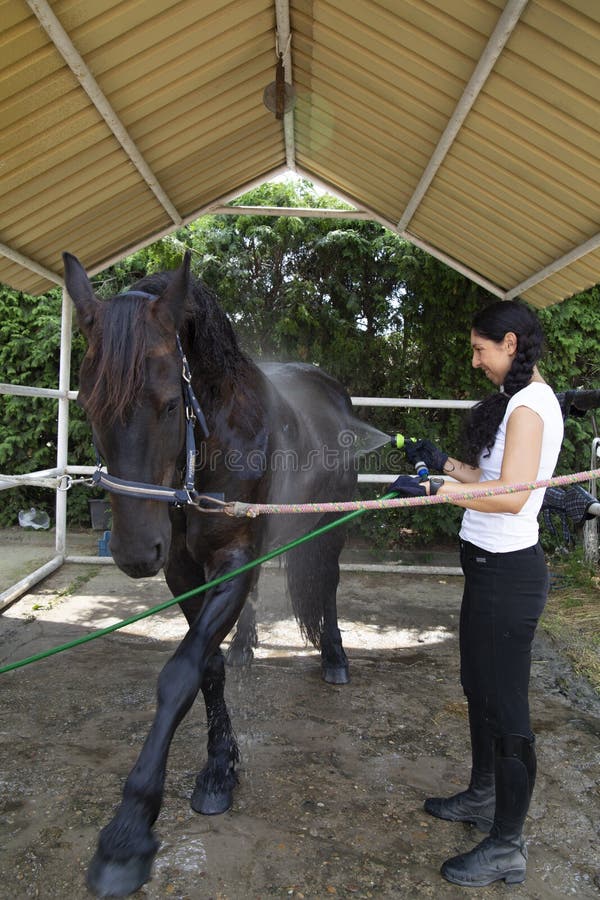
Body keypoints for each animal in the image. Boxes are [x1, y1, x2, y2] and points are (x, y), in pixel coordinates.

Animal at [63, 250, 365, 897]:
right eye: (87, 404)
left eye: (169, 404)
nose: (134, 551)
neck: (214, 439)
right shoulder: (183, 570)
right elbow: (207, 666)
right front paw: (221, 767)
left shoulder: (232, 555)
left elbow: (180, 674)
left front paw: (128, 833)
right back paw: (250, 644)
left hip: (329, 524)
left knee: (325, 587)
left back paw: (334, 657)